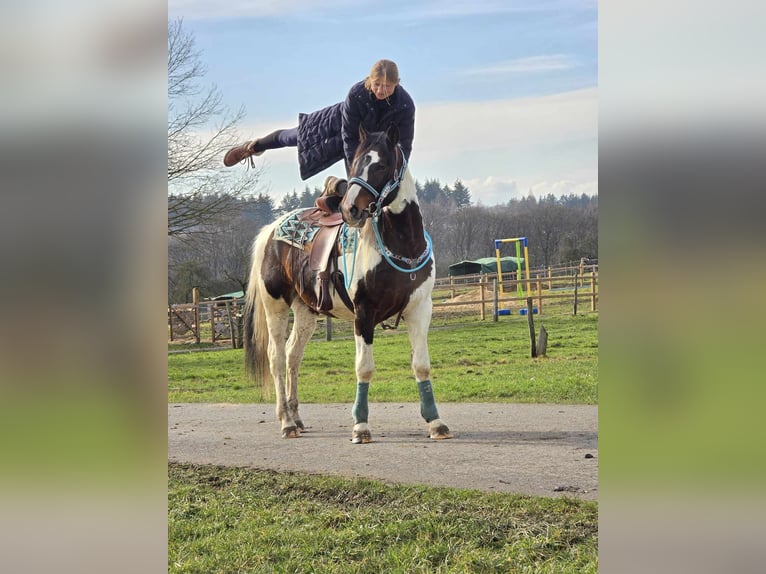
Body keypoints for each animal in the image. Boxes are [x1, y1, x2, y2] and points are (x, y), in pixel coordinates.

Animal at [243, 124, 452, 444]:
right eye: (353, 164)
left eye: (380, 165)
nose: (351, 209)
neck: (401, 245)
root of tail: (271, 230)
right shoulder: (363, 313)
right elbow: (364, 368)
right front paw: (361, 427)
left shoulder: (419, 309)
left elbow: (421, 364)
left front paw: (435, 422)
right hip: (274, 305)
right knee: (276, 357)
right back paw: (286, 422)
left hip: (305, 310)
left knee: (293, 355)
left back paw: (296, 417)